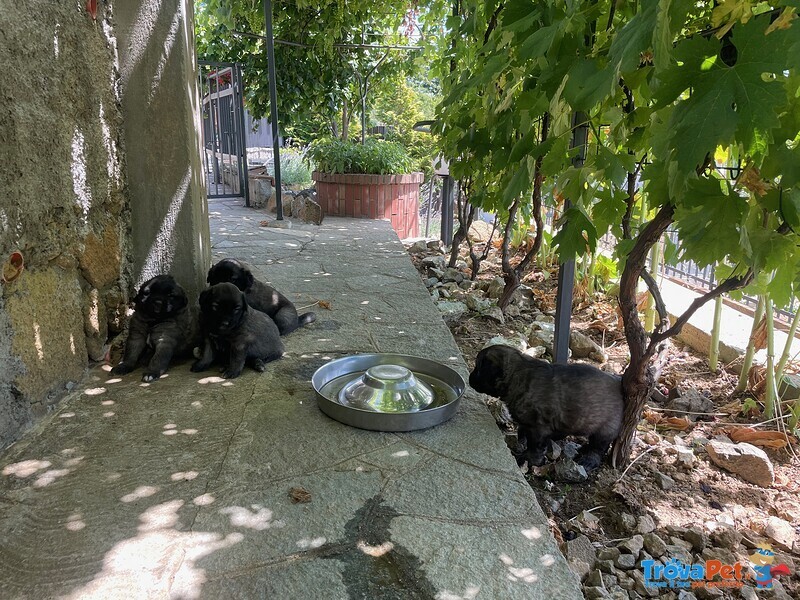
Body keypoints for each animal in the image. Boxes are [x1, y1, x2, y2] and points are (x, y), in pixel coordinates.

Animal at [468, 344, 624, 472]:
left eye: (478, 368)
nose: (469, 378)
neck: (517, 376)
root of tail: (619, 383)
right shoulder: (528, 423)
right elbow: (523, 432)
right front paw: (521, 443)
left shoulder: (538, 428)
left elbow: (535, 447)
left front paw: (527, 459)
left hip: (606, 428)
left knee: (598, 447)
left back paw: (589, 460)